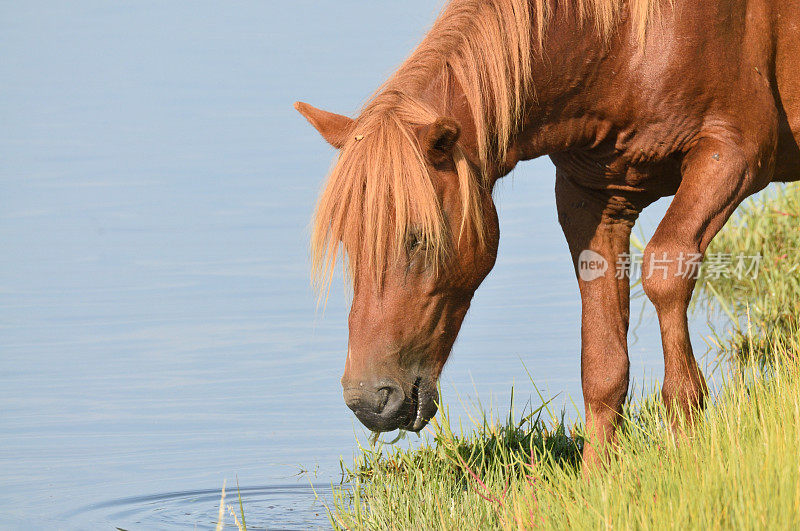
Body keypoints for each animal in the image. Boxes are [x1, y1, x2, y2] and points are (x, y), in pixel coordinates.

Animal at [296, 0, 800, 466]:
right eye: (349, 244)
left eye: (418, 237)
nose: (369, 401)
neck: (620, 46)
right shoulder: (592, 199)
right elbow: (602, 359)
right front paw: (598, 479)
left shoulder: (731, 156)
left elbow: (666, 273)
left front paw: (686, 433)